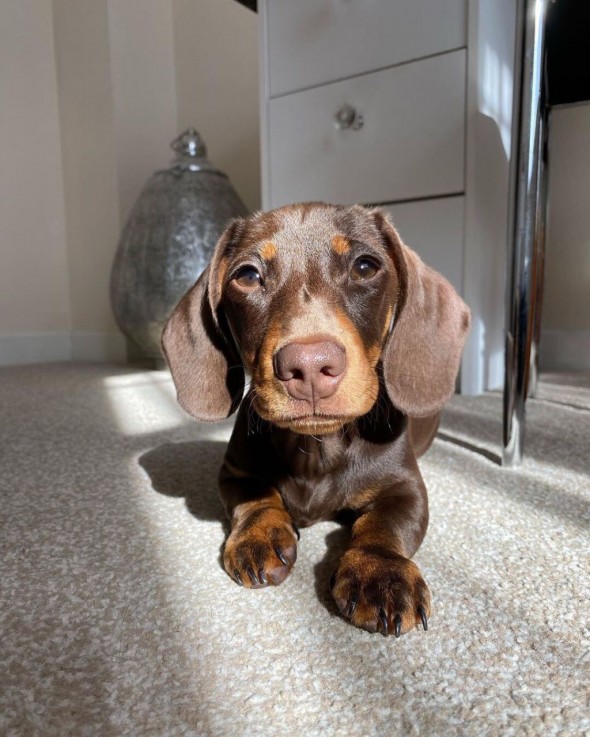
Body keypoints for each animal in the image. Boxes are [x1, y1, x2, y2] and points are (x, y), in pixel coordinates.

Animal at [162, 200, 472, 632]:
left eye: (365, 267)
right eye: (247, 275)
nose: (309, 367)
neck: (316, 447)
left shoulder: (405, 488)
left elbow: (384, 524)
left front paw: (381, 572)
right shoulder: (234, 473)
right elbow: (255, 498)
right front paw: (260, 534)